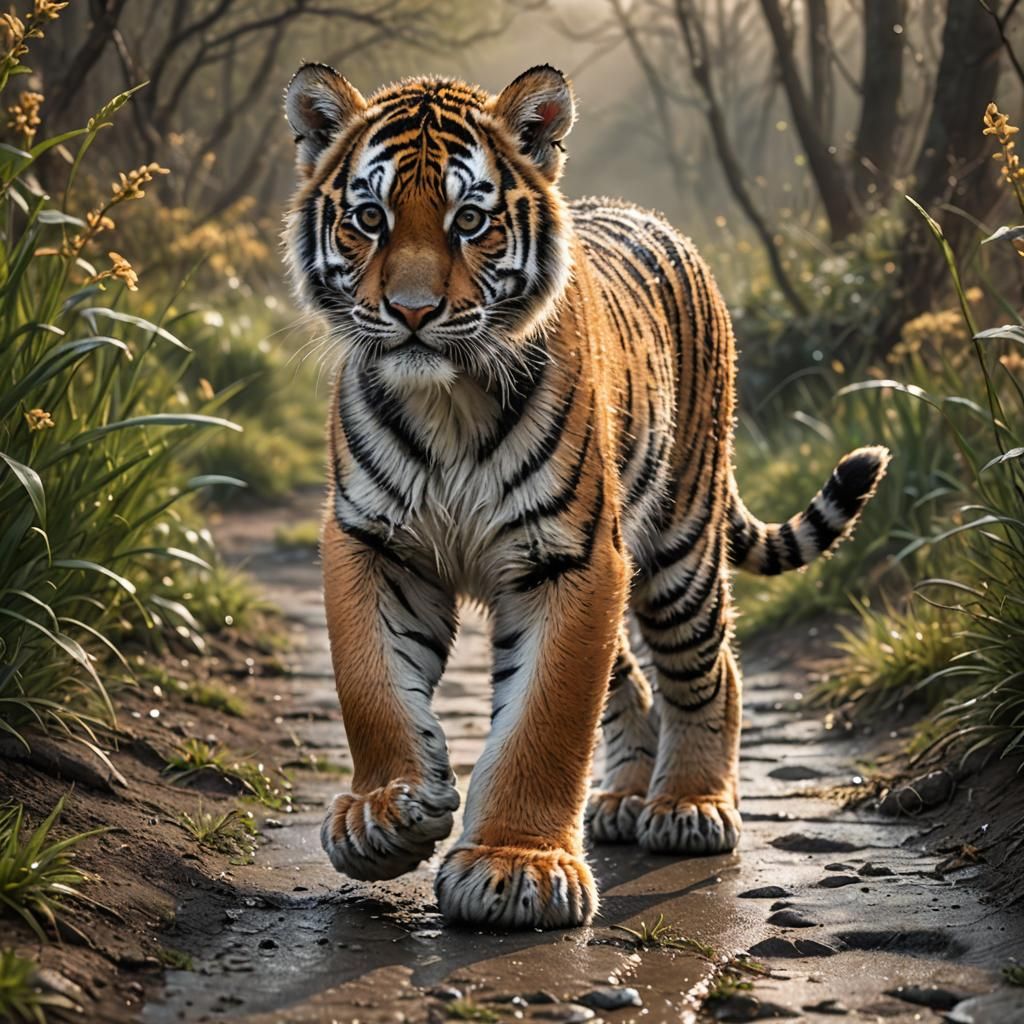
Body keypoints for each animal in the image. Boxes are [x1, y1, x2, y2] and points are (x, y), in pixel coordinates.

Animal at [283, 62, 889, 932]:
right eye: (369, 218)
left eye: (471, 221)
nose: (412, 313)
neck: (447, 402)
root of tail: (656, 219)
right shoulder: (373, 542)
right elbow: (371, 684)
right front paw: (385, 814)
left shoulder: (571, 559)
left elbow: (549, 715)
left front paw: (517, 868)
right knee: (630, 677)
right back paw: (625, 797)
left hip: (679, 548)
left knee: (709, 671)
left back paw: (689, 806)